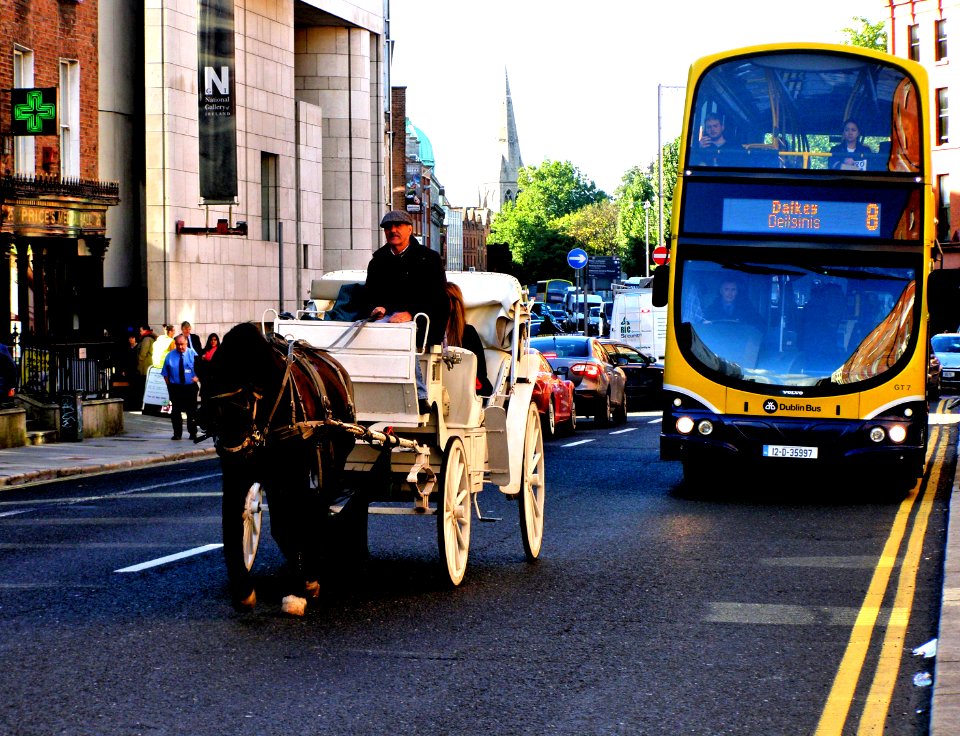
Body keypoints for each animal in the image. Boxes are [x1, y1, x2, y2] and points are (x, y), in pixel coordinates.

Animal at [197, 322, 358, 616]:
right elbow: (233, 524)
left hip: (329, 461)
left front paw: (300, 588)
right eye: (209, 406)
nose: (233, 453)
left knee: (316, 508)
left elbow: (293, 521)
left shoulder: (293, 471)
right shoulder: (239, 475)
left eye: (244, 405)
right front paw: (243, 590)